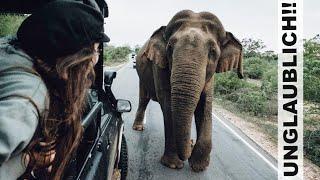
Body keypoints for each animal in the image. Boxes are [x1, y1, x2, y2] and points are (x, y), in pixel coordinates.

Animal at [132, 9, 242, 172]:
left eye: (213, 52)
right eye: (169, 48)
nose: (190, 145)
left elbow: (205, 103)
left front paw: (199, 167)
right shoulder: (159, 64)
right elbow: (168, 102)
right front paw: (172, 164)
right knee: (144, 98)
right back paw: (138, 128)